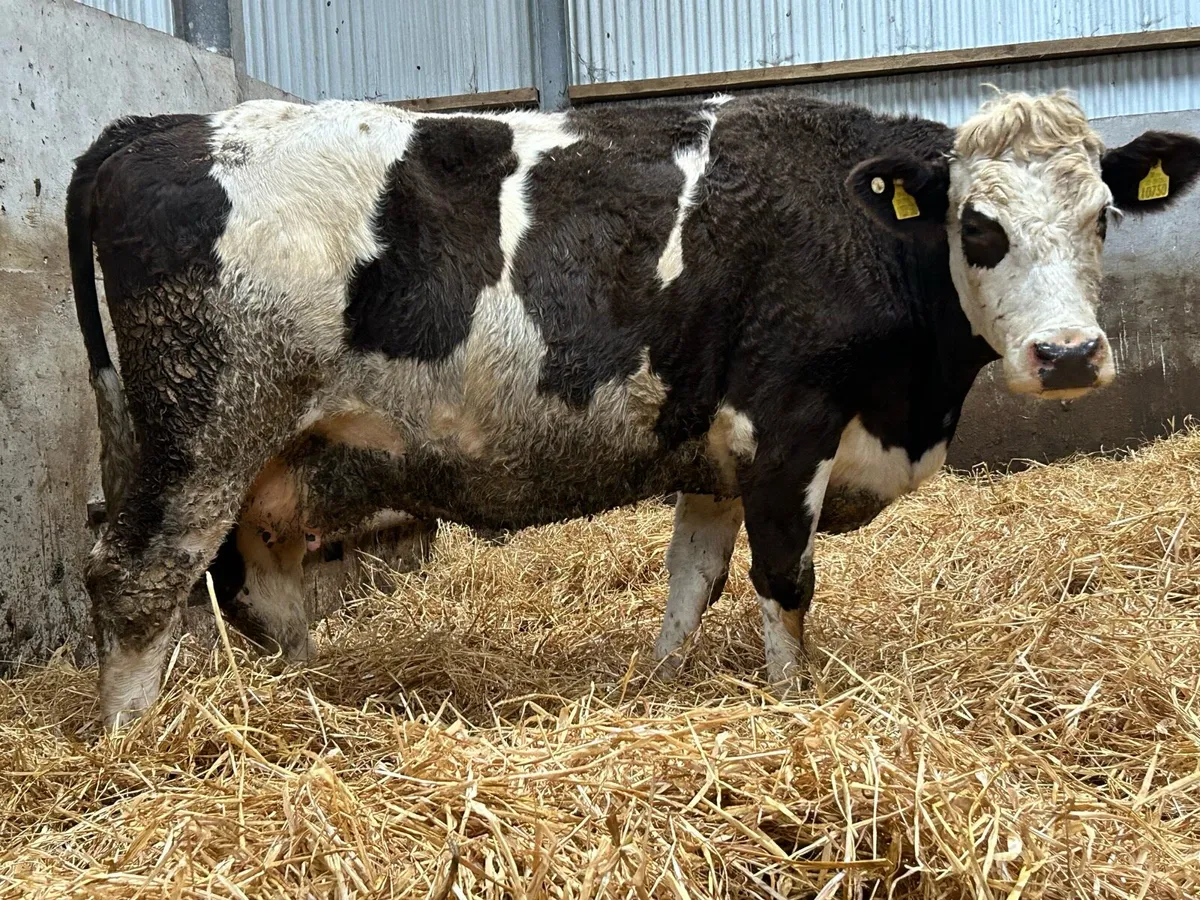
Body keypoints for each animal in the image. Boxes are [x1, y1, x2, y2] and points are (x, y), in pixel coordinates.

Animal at [67, 89, 1200, 728]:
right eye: (977, 225)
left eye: (1104, 215)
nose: (1068, 355)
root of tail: (155, 127)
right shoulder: (786, 429)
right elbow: (784, 583)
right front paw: (794, 707)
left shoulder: (714, 453)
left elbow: (690, 584)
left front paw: (654, 688)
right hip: (201, 430)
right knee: (137, 580)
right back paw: (133, 749)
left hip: (247, 454)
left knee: (258, 588)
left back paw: (302, 701)